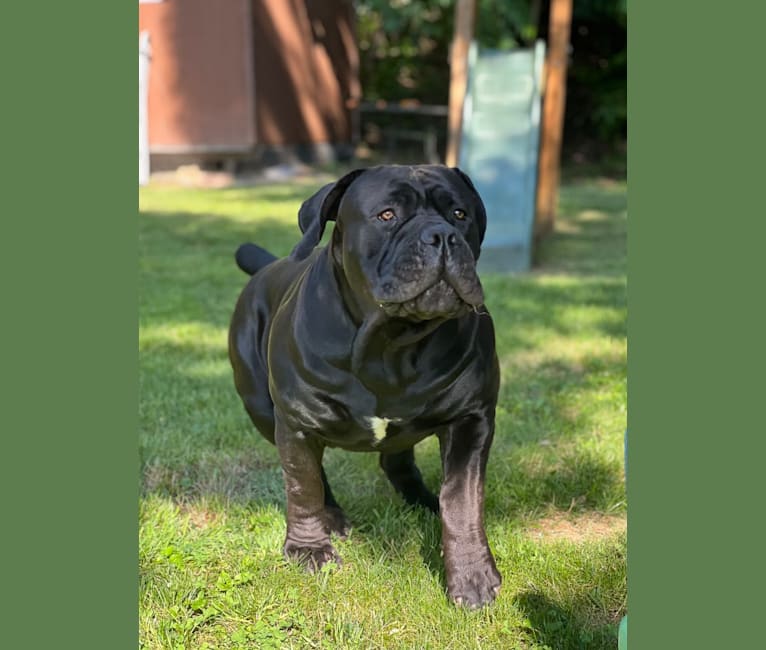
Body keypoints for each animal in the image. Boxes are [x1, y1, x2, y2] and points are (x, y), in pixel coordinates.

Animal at [228, 165, 504, 604]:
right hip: (262, 409)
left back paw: (423, 502)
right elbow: (303, 486)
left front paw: (472, 576)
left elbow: (462, 500)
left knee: (397, 460)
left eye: (459, 214)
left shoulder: (472, 419)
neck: (391, 344)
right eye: (387, 215)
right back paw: (333, 517)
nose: (442, 236)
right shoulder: (297, 422)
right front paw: (309, 551)